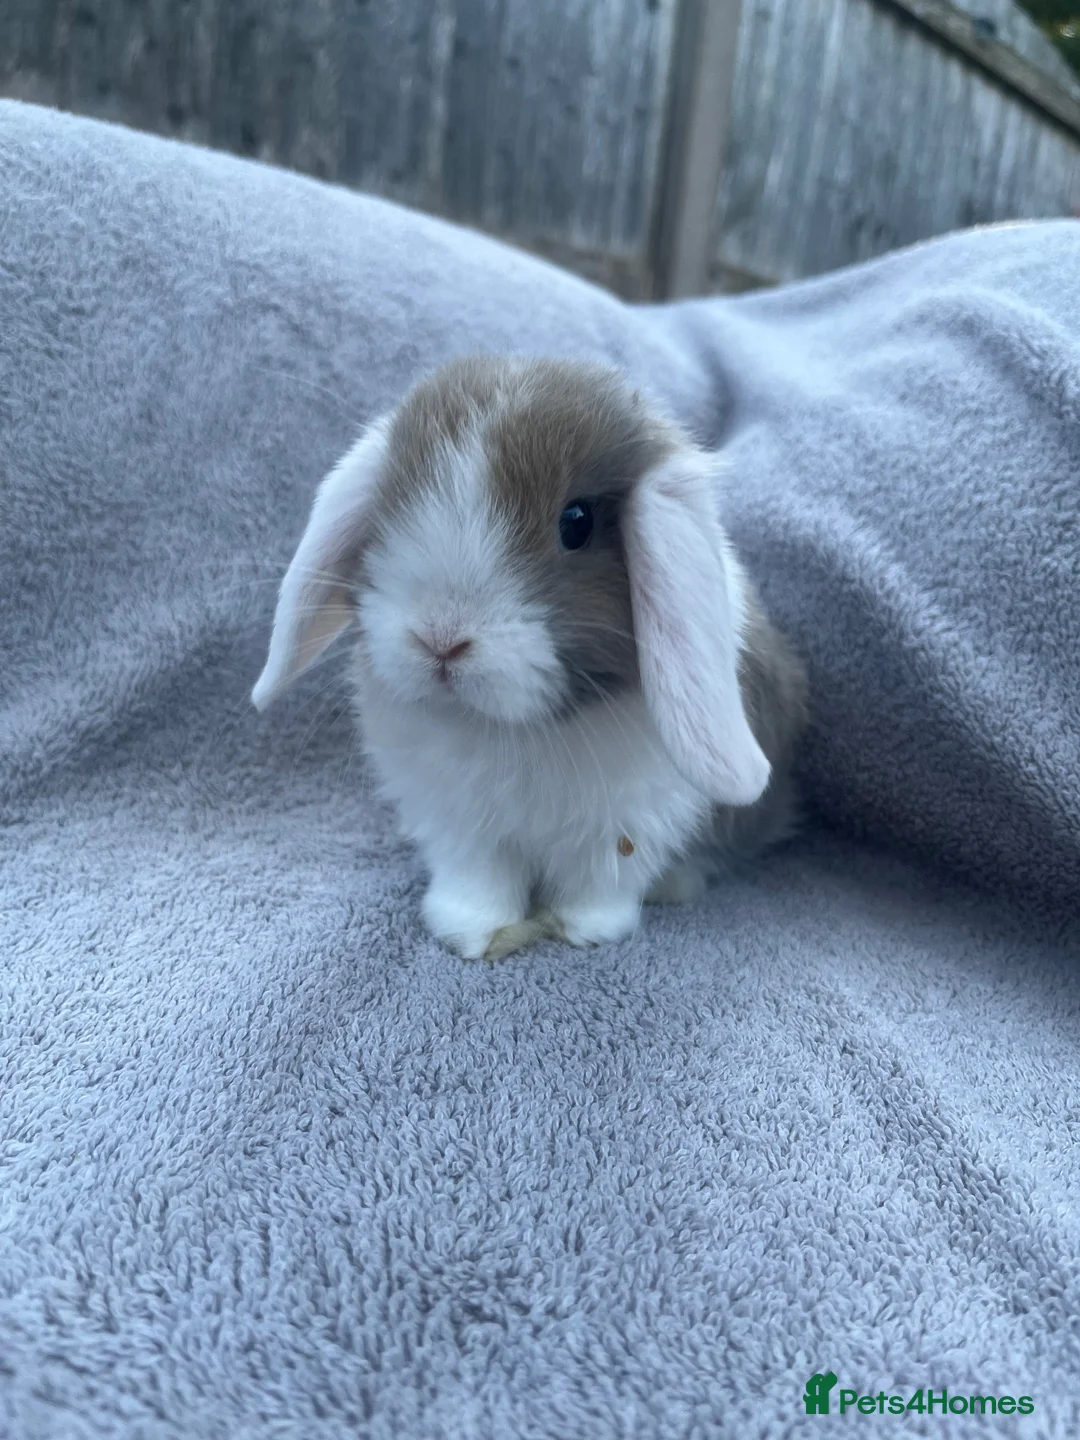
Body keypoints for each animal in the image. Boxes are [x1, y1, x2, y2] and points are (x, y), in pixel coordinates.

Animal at [252, 356, 808, 960]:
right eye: (389, 507)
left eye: (577, 522)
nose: (440, 640)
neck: (512, 730)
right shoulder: (459, 822)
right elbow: (477, 878)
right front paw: (467, 931)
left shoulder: (627, 821)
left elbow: (601, 880)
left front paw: (586, 929)